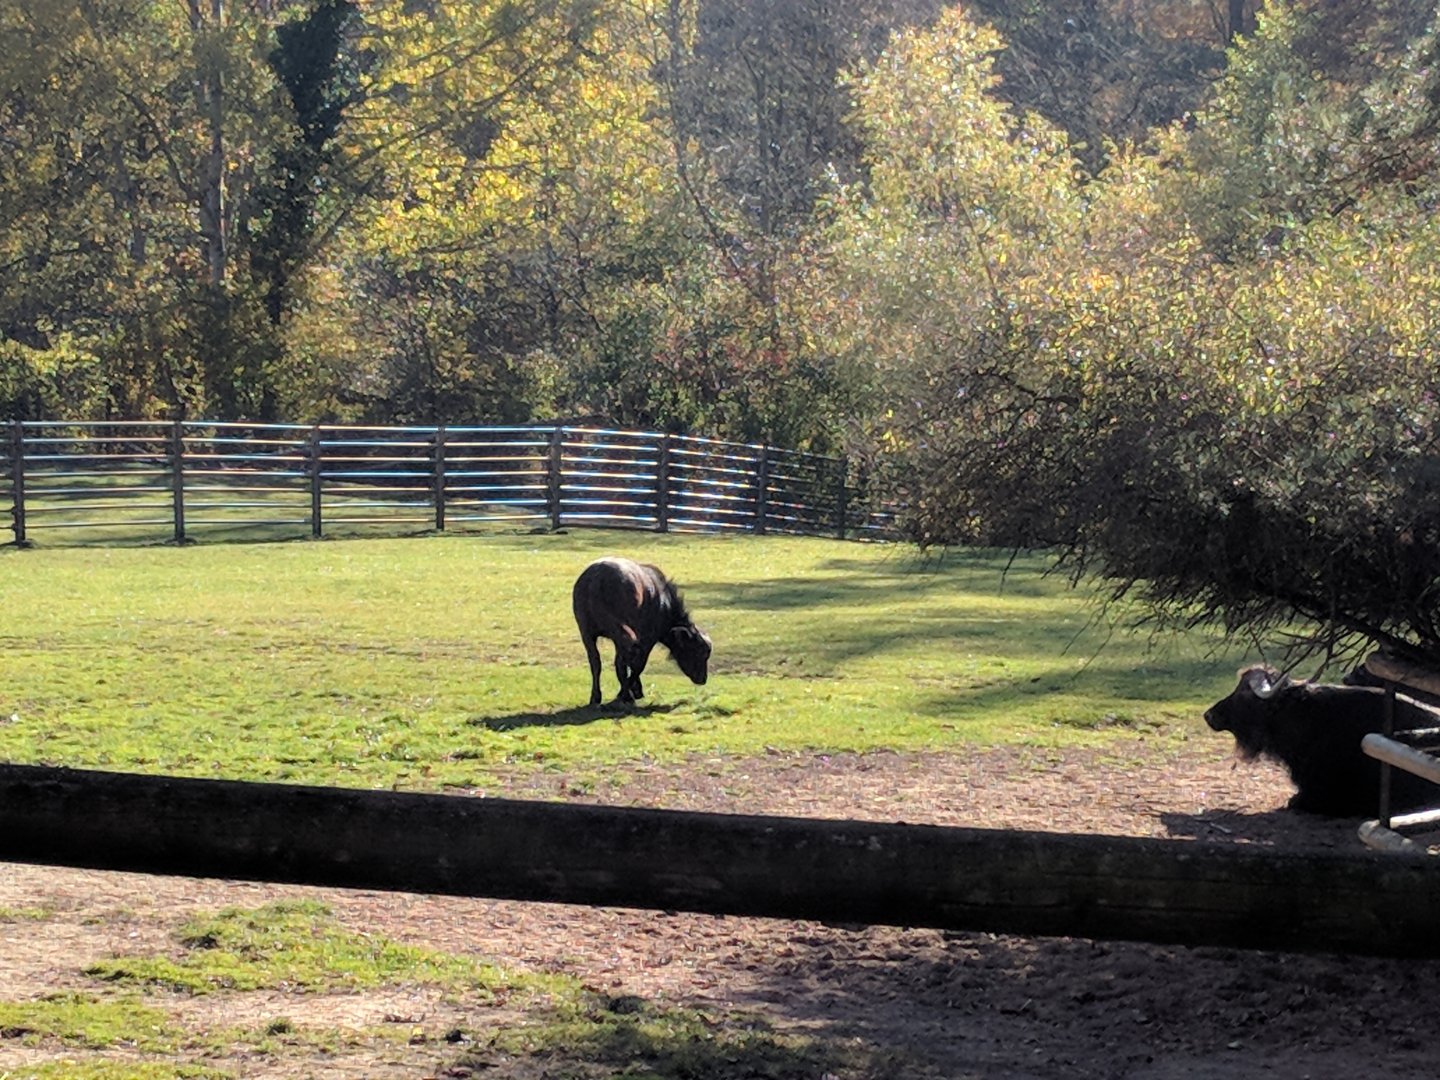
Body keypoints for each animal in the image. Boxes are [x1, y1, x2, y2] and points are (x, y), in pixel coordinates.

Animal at [572, 556, 712, 706]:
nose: (703, 679)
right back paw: (625, 695)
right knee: (626, 658)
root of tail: (596, 579)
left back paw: (597, 696)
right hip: (619, 631)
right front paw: (632, 691)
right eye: (699, 652)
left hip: (586, 631)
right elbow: (639, 663)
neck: (664, 602)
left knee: (596, 662)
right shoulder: (648, 638)